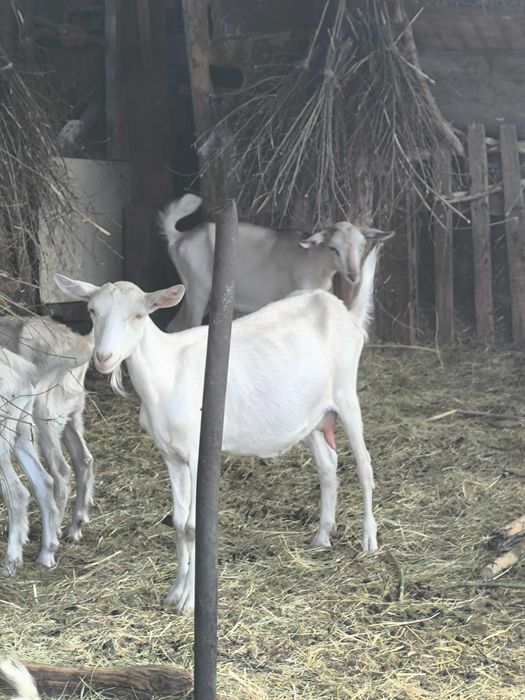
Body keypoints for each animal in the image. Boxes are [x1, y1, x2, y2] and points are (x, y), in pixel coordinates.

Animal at [0, 317, 94, 542]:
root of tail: (83, 344)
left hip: (43, 413)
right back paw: (75, 526)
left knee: (60, 471)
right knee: (83, 460)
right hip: (71, 415)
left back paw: (54, 531)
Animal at [54, 244, 382, 613]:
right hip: (314, 415)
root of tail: (345, 312)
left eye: (138, 315)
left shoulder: (199, 453)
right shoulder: (171, 456)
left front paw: (189, 601)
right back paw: (322, 536)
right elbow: (180, 524)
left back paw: (369, 539)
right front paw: (175, 593)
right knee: (328, 468)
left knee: (364, 466)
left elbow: (195, 526)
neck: (167, 374)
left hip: (346, 394)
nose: (103, 357)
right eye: (92, 311)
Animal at [159, 193, 393, 331]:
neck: (313, 262)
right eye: (333, 248)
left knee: (174, 326)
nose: (353, 276)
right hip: (198, 292)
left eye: (362, 246)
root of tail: (179, 237)